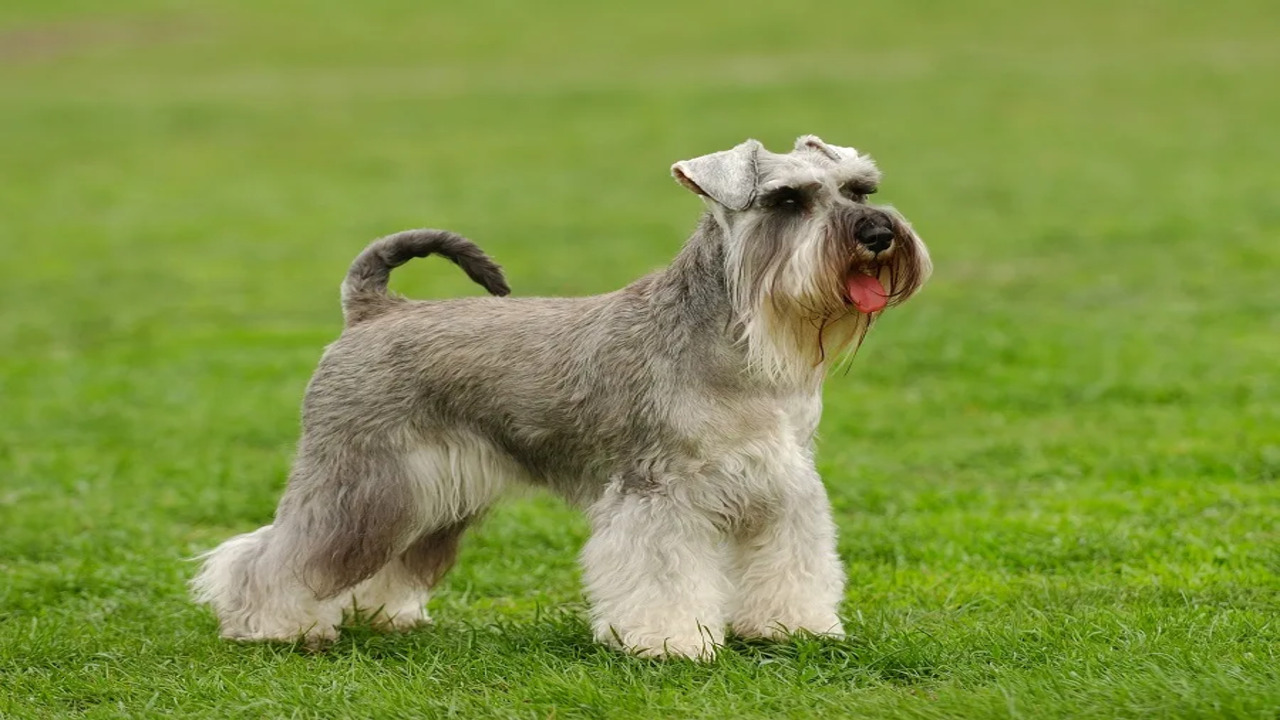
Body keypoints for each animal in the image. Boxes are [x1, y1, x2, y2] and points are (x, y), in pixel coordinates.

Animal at [189, 133, 931, 655]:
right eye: (787, 201)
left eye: (860, 189)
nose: (877, 233)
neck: (737, 344)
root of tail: (373, 311)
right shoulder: (659, 493)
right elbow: (664, 574)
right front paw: (669, 642)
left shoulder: (782, 488)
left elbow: (792, 563)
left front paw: (791, 628)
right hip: (361, 481)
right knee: (276, 554)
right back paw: (274, 625)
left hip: (429, 494)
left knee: (387, 559)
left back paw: (383, 614)